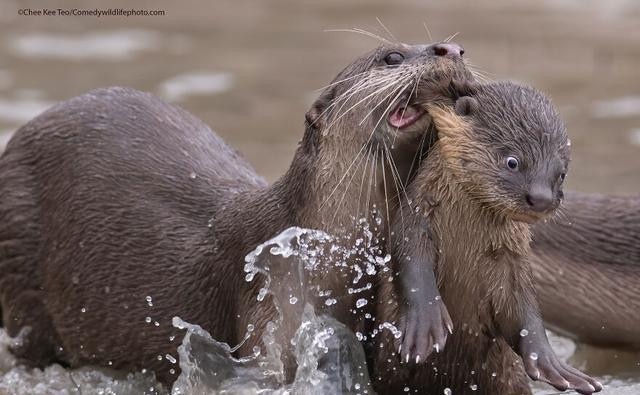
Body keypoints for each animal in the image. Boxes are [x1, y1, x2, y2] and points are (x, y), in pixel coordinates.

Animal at [372, 81, 604, 395]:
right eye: (513, 161)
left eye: (561, 174)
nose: (542, 199)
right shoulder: (416, 219)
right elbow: (411, 263)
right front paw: (425, 324)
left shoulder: (511, 258)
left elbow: (523, 310)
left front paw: (550, 363)